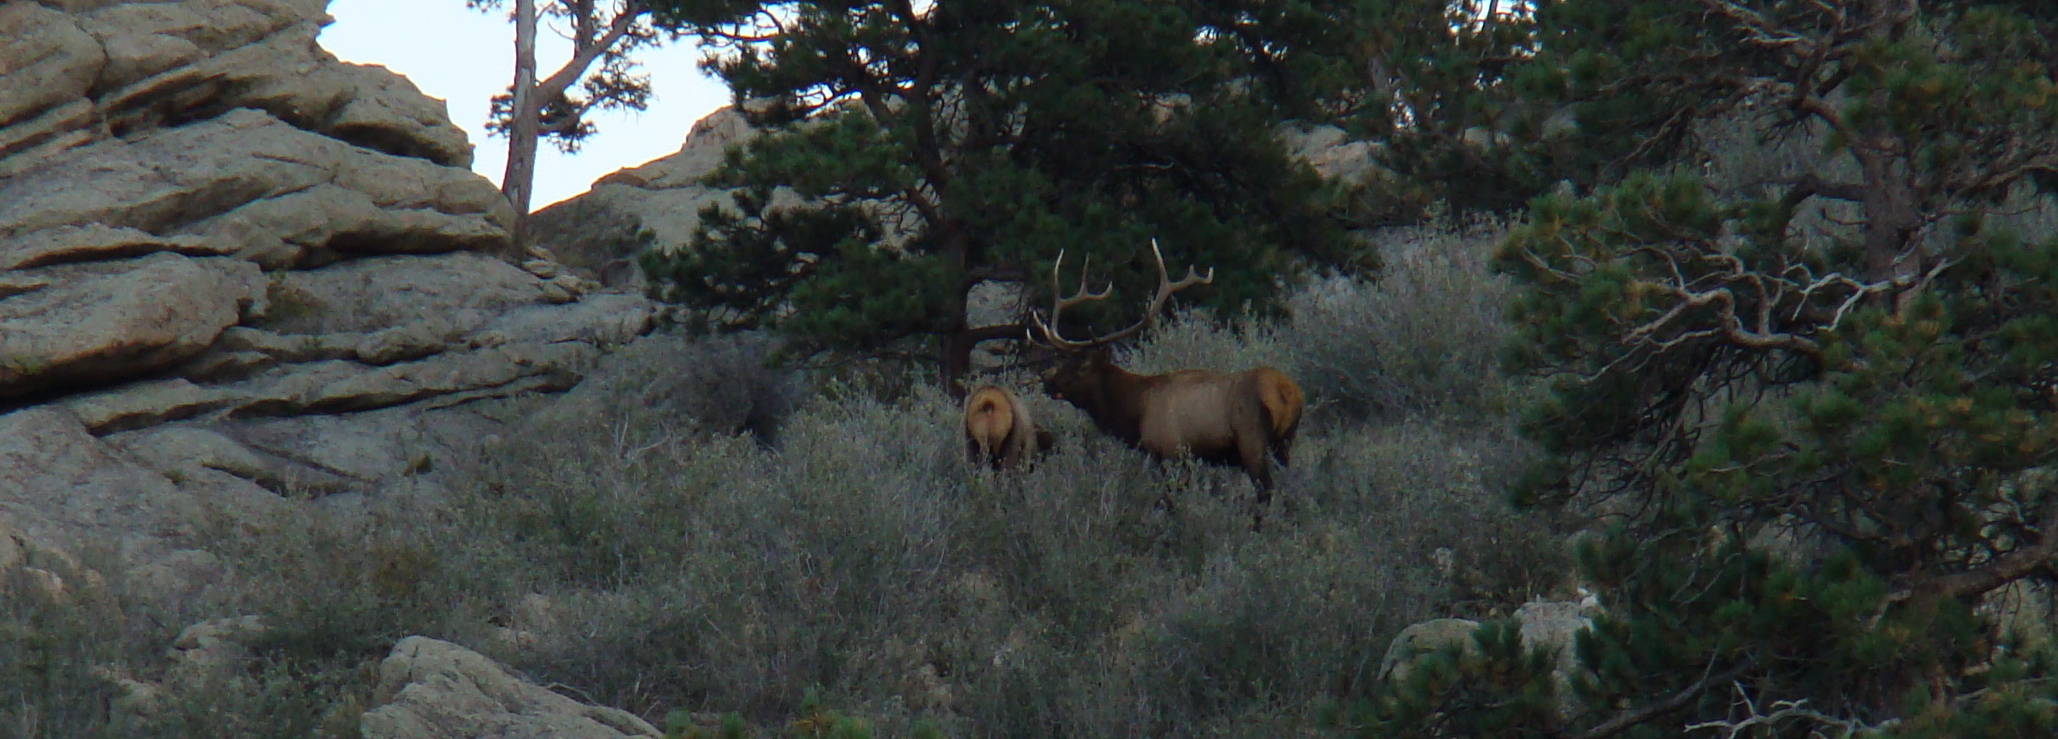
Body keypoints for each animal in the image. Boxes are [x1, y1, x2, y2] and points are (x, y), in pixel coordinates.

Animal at [1027, 239, 1304, 529]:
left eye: (1083, 365)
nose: (1048, 380)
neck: (1136, 413)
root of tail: (1287, 393)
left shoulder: (1170, 453)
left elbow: (1169, 503)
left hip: (1253, 442)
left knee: (1265, 493)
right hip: (1285, 443)